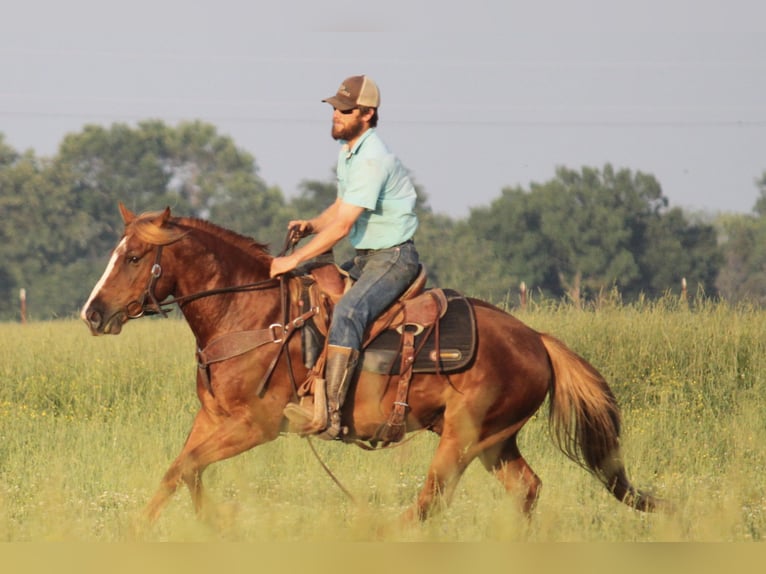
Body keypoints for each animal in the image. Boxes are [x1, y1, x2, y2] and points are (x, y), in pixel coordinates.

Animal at [82, 205, 660, 524]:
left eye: (134, 257)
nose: (93, 313)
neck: (251, 313)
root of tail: (535, 339)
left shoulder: (256, 425)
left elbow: (187, 469)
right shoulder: (214, 419)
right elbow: (179, 472)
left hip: (464, 438)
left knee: (430, 501)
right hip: (496, 442)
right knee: (526, 489)